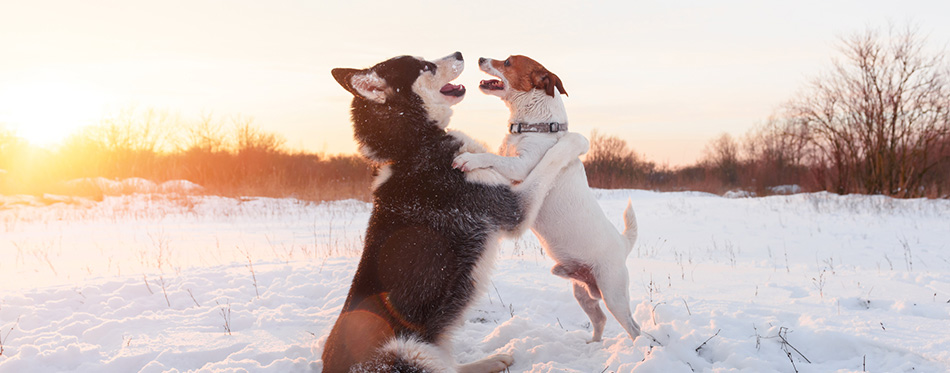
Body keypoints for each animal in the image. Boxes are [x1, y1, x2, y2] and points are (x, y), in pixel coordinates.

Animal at [456, 55, 648, 342]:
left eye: (508, 62)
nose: (480, 58)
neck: (537, 127)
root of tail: (624, 245)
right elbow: (490, 152)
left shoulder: (521, 168)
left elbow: (491, 158)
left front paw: (470, 159)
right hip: (582, 292)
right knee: (600, 319)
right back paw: (592, 344)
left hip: (613, 294)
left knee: (634, 328)